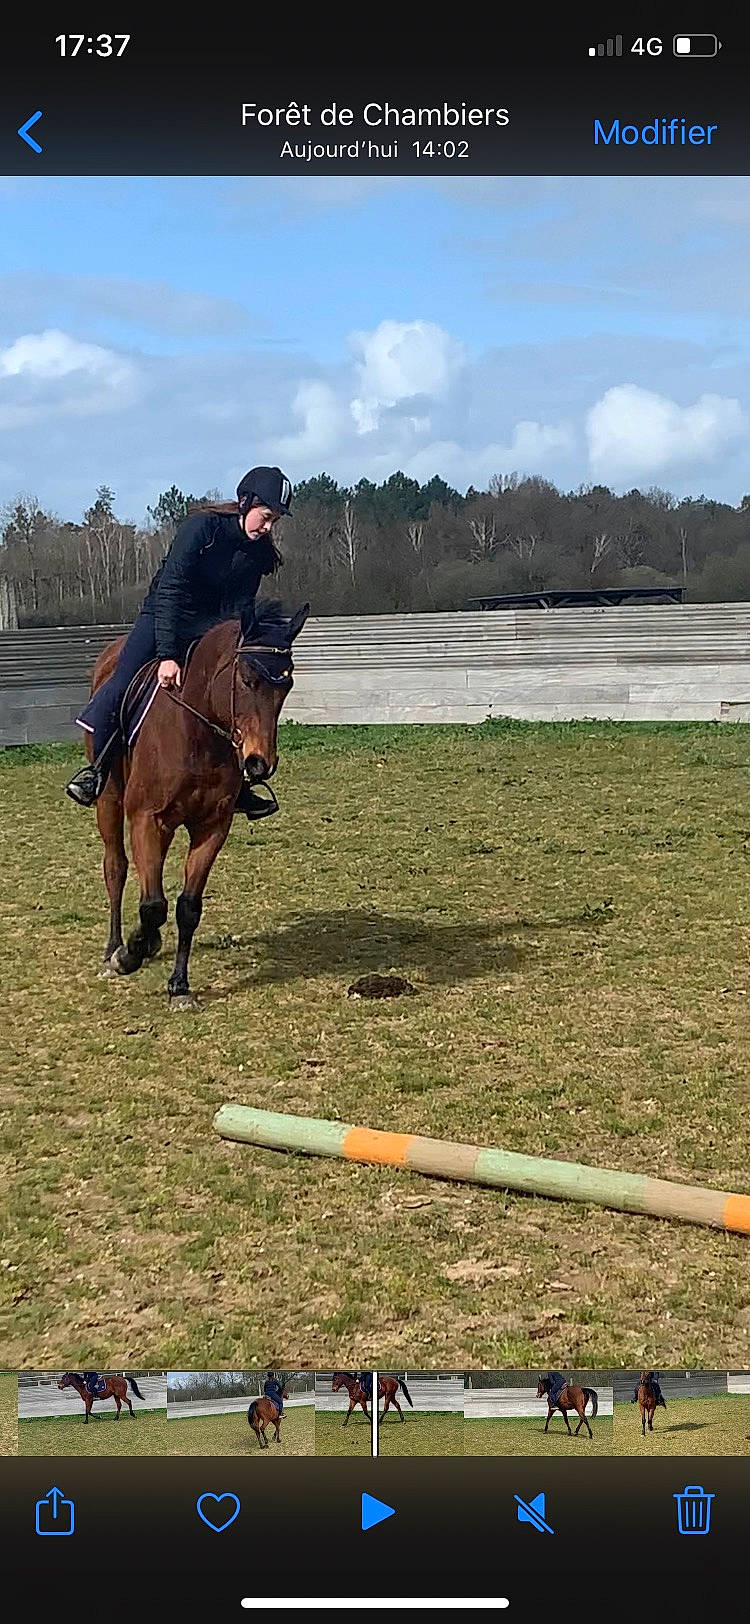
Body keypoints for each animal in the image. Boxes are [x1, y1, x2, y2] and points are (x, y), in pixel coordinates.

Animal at [87, 601, 309, 1008]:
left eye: (286, 683)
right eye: (247, 679)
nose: (260, 762)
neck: (197, 733)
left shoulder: (212, 827)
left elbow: (187, 907)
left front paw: (179, 986)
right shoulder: (148, 820)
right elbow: (153, 905)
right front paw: (130, 953)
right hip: (108, 800)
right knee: (116, 867)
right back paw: (113, 950)